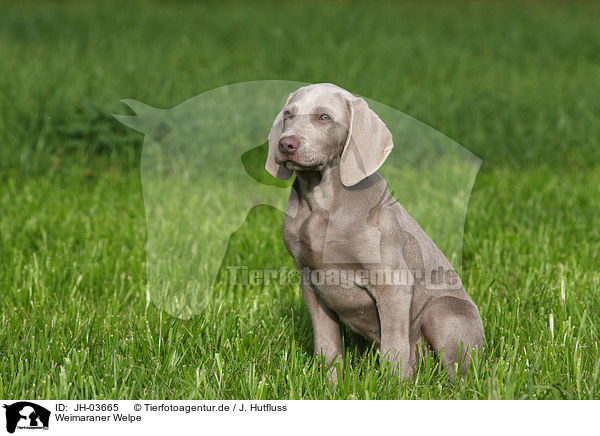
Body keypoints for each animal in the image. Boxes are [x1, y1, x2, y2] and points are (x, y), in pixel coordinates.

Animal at [264, 82, 486, 382]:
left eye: (324, 117)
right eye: (288, 114)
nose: (286, 144)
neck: (322, 201)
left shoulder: (393, 282)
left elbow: (393, 345)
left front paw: (395, 386)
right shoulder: (310, 282)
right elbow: (327, 343)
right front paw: (332, 383)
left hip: (443, 312)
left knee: (460, 373)